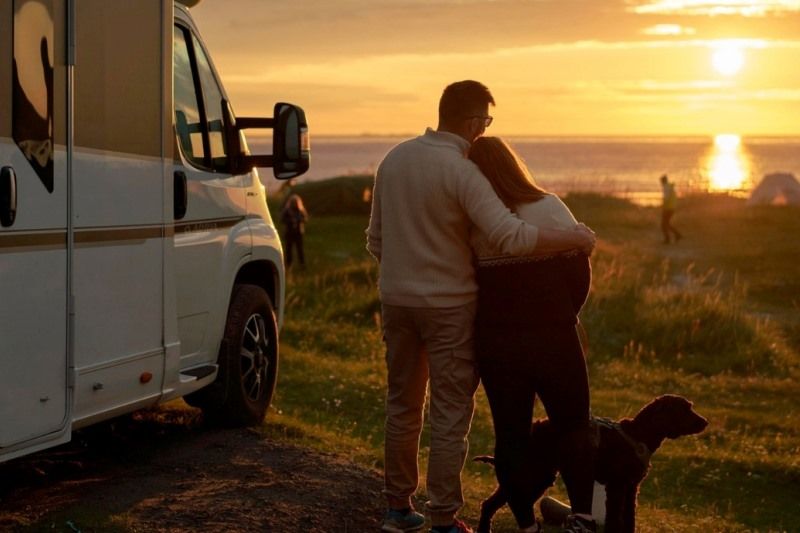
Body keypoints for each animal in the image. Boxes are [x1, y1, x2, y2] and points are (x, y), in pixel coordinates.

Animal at [476, 392, 708, 528]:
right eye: (686, 409)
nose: (705, 422)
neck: (638, 433)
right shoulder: (617, 486)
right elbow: (615, 520)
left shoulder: (631, 488)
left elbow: (629, 520)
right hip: (533, 475)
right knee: (492, 504)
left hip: (537, 476)